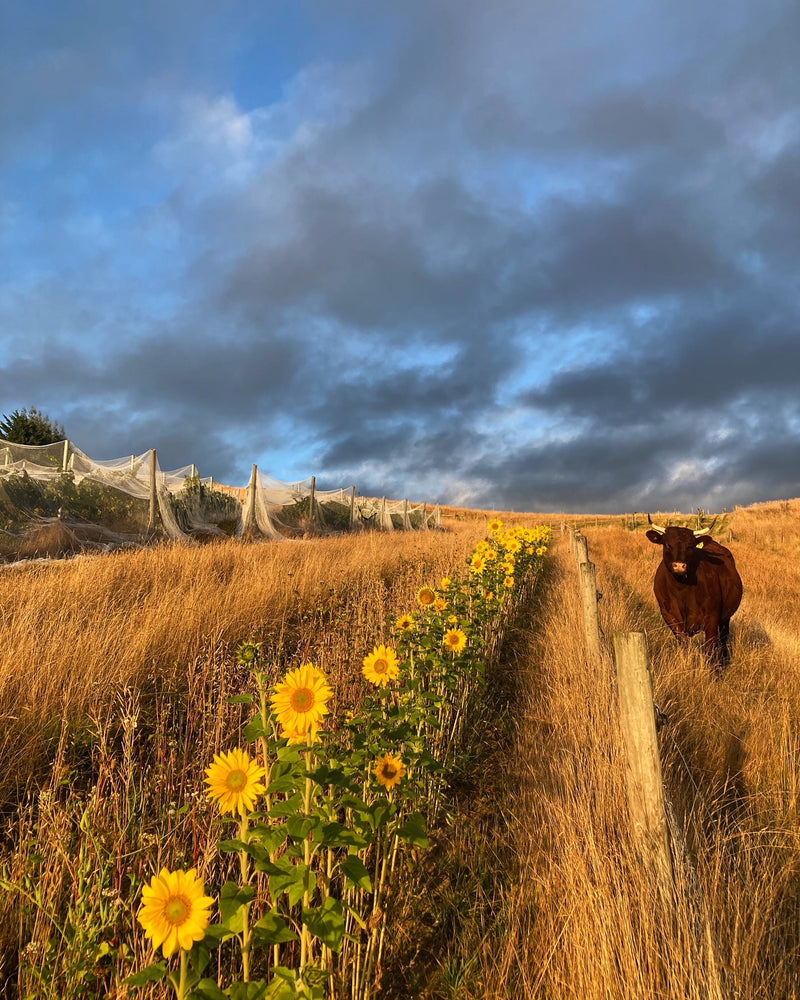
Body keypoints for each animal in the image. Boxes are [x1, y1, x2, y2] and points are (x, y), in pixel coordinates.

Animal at [644, 516, 744, 672]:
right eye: (667, 544)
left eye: (690, 546)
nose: (679, 565)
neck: (682, 589)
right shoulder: (670, 616)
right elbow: (684, 644)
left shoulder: (712, 618)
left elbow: (710, 649)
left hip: (725, 618)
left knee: (722, 640)